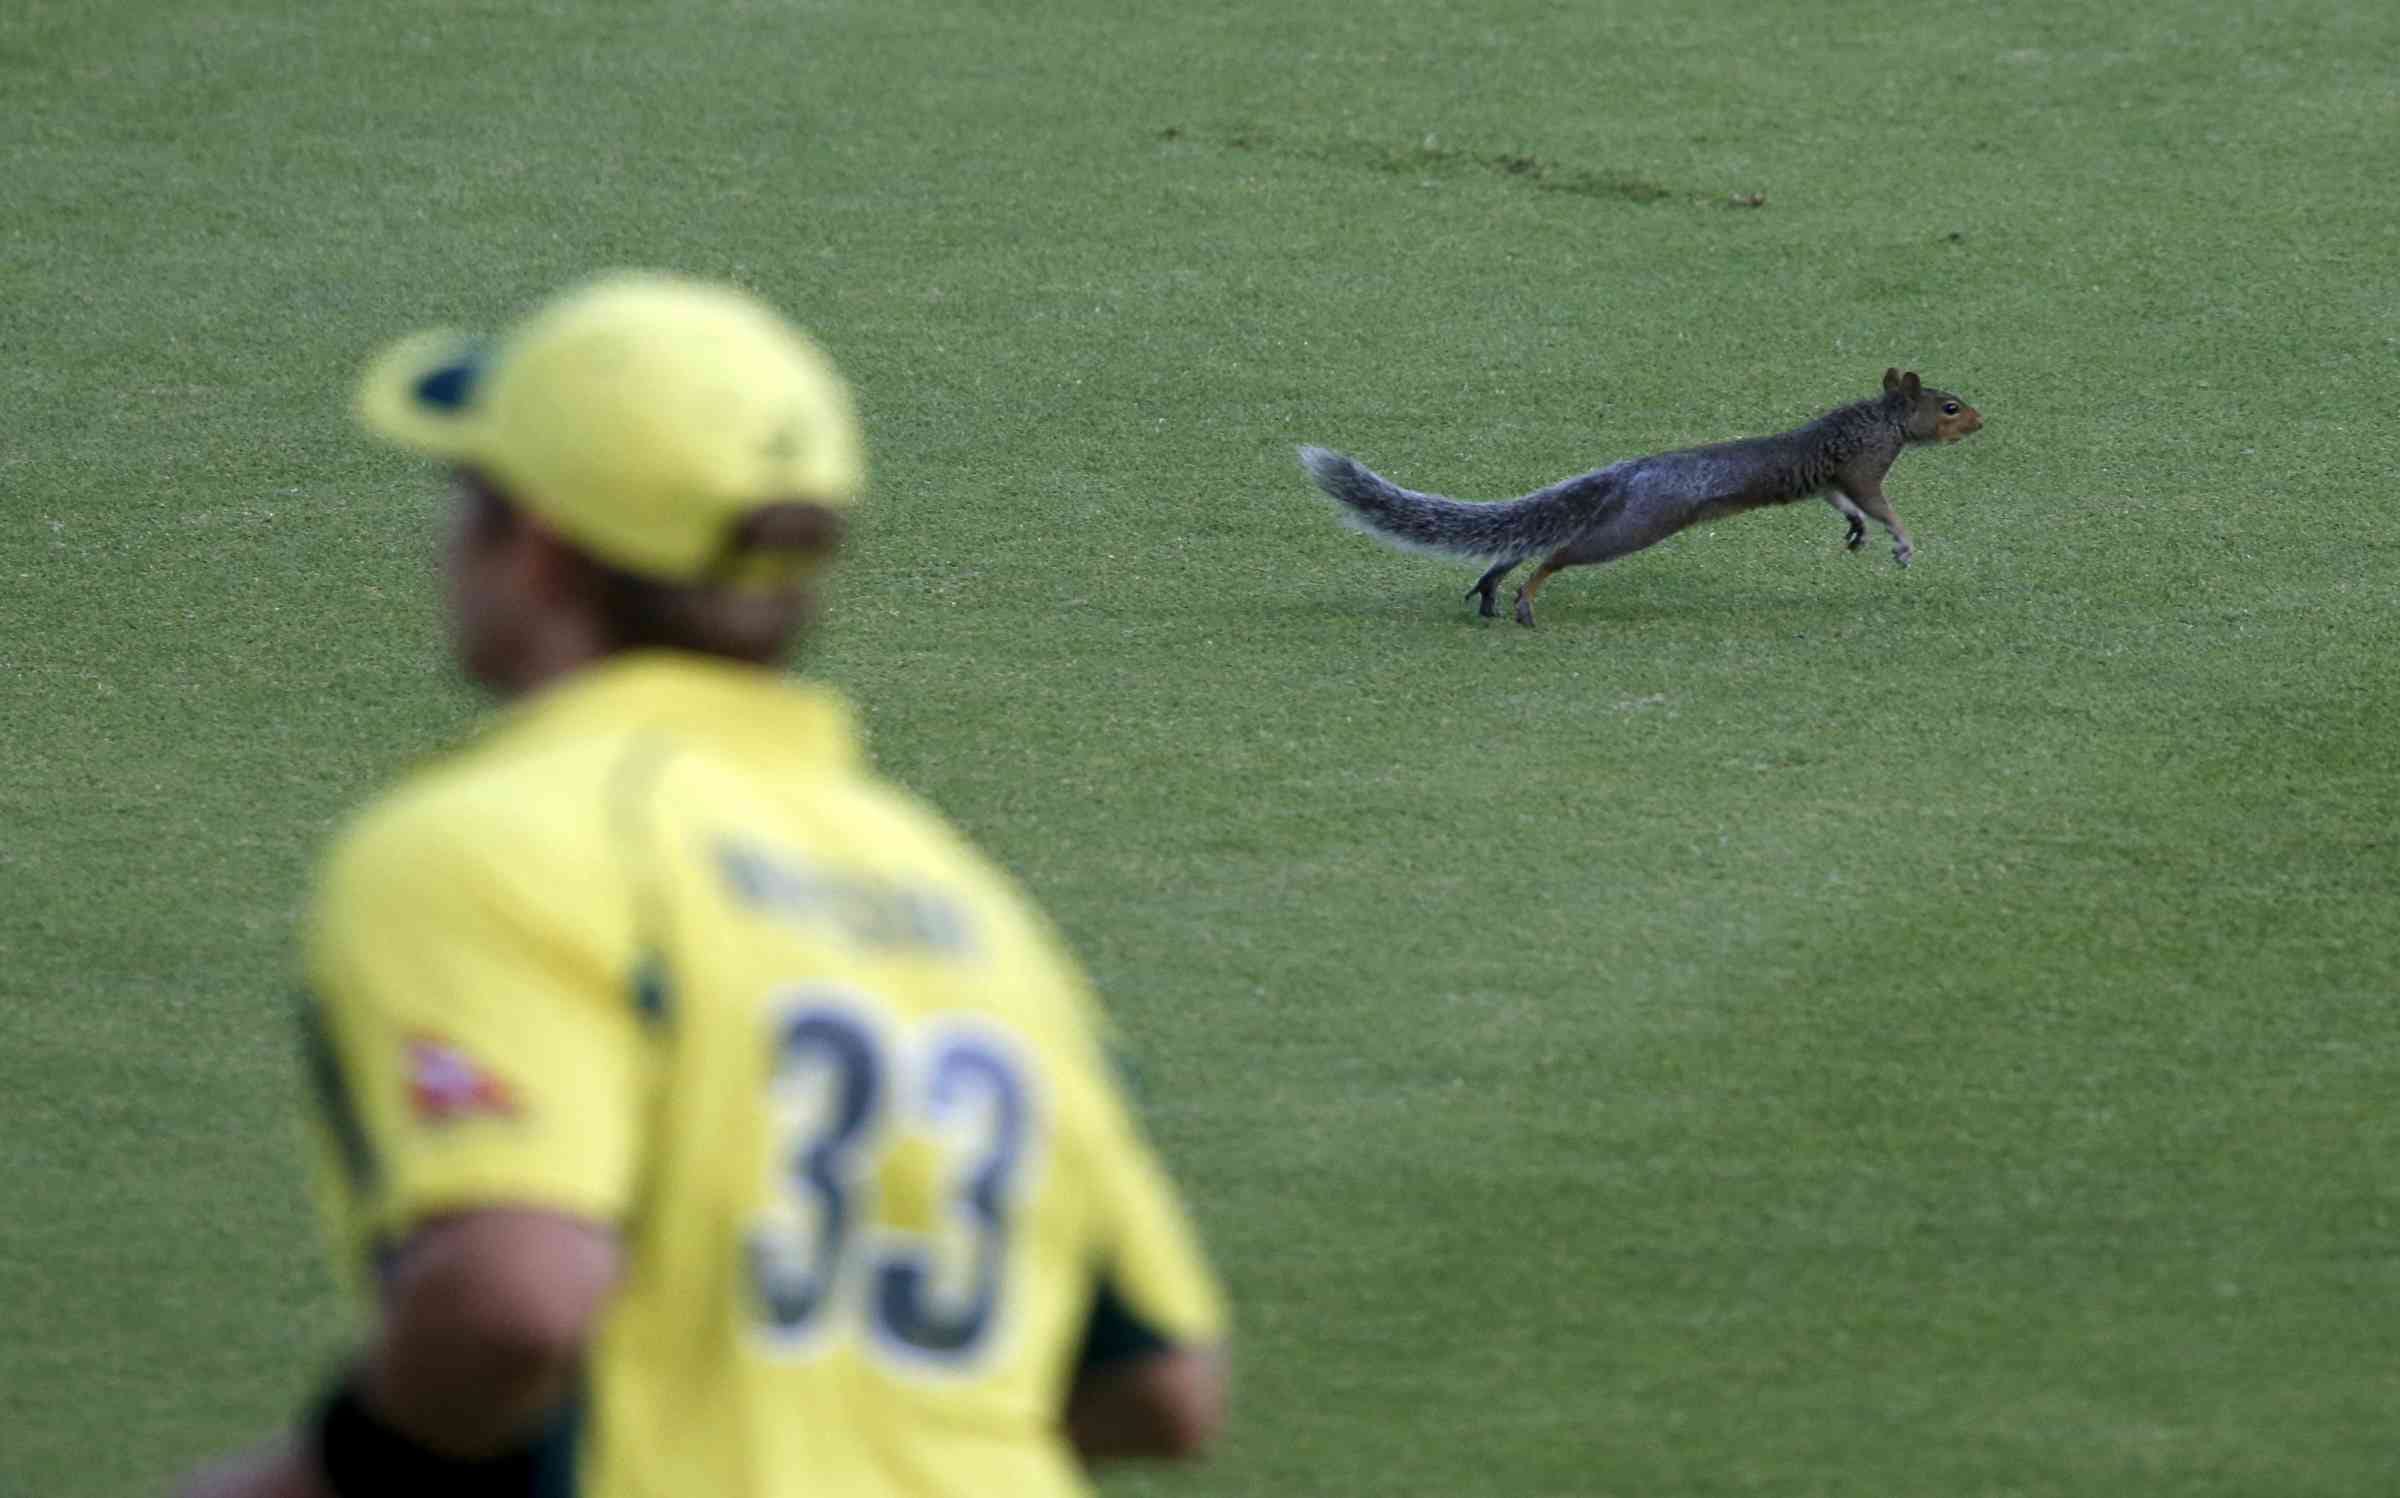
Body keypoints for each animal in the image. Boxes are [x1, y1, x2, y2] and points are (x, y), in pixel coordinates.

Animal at [1299, 369, 1983, 627]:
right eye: (1950, 407)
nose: (1982, 420)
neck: (1880, 418)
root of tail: (1628, 475)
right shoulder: (1864, 466)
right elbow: (1880, 502)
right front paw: (1902, 541)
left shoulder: (1832, 479)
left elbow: (1843, 503)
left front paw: (1857, 533)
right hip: (1631, 528)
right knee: (1556, 554)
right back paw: (1523, 598)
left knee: (1525, 546)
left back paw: (1493, 586)